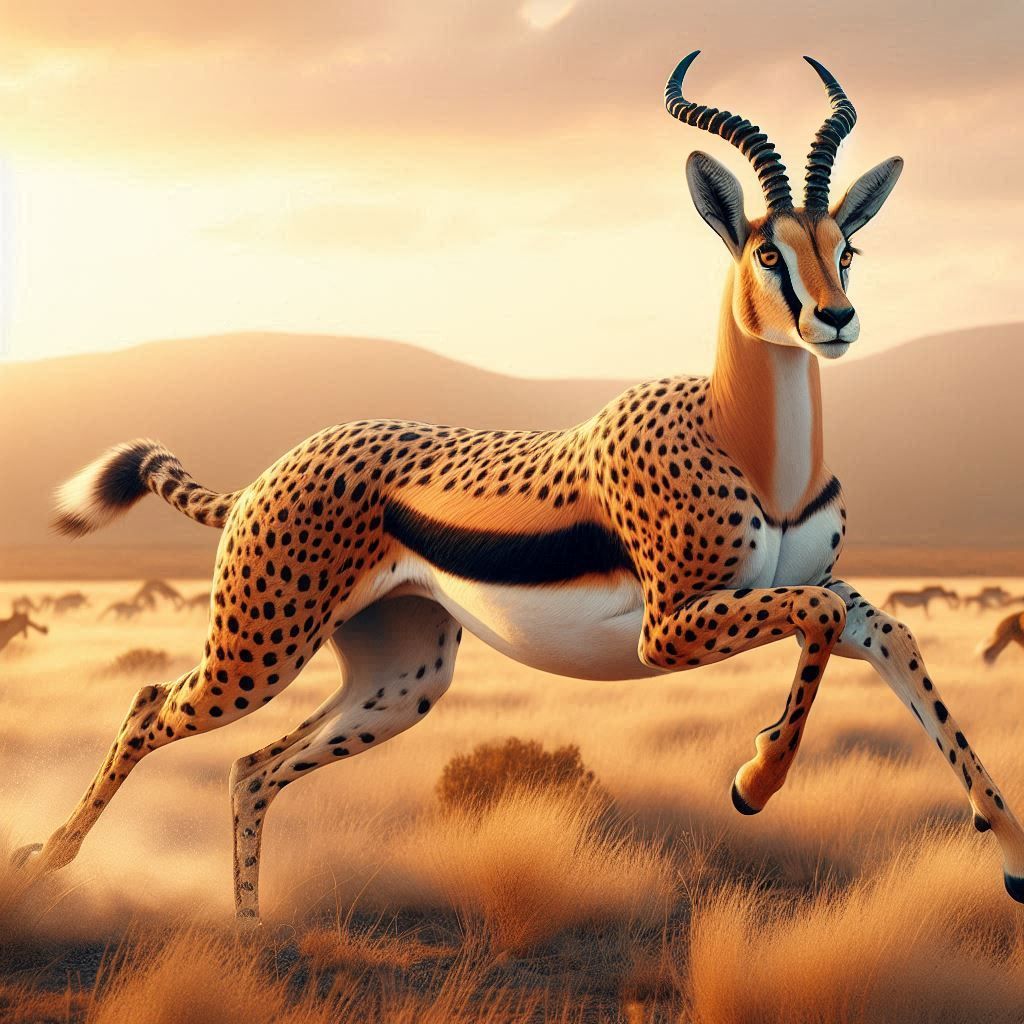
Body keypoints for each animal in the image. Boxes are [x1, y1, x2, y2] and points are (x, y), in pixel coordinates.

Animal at [15, 52, 1024, 921]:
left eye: (845, 247)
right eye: (767, 254)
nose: (836, 318)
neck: (755, 446)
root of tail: (275, 469)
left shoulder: (815, 591)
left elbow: (891, 639)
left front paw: (1009, 847)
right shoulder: (672, 625)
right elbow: (814, 621)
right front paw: (754, 780)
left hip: (401, 679)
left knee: (253, 768)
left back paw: (253, 935)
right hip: (258, 647)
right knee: (150, 708)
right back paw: (48, 861)